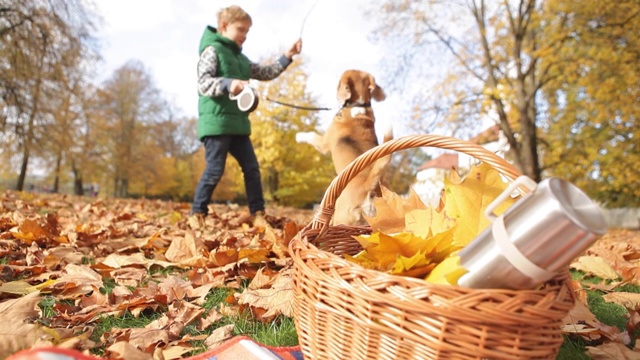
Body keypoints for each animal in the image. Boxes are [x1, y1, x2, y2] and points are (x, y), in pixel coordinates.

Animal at [296, 69, 396, 224]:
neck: (359, 107)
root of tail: (368, 187)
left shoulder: (323, 143)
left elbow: (311, 135)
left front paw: (298, 136)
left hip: (341, 216)